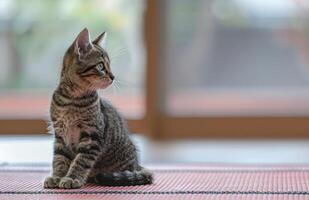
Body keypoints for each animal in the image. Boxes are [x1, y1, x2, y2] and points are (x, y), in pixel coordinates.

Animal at [43, 28, 153, 189]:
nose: (113, 76)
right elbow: (59, 159)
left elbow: (81, 161)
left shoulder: (92, 135)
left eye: (109, 65)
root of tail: (137, 165)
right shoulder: (59, 135)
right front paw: (57, 176)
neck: (72, 99)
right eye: (100, 66)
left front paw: (72, 178)